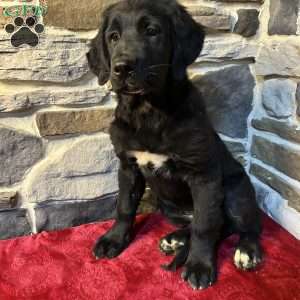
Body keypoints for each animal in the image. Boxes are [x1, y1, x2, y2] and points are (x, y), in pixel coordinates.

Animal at [87, 0, 262, 290]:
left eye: (152, 31)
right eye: (113, 37)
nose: (122, 67)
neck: (148, 111)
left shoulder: (203, 176)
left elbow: (205, 226)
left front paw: (200, 266)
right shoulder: (128, 167)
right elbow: (124, 207)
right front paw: (114, 239)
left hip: (237, 191)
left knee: (243, 224)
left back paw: (247, 250)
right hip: (167, 206)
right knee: (211, 225)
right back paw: (176, 239)